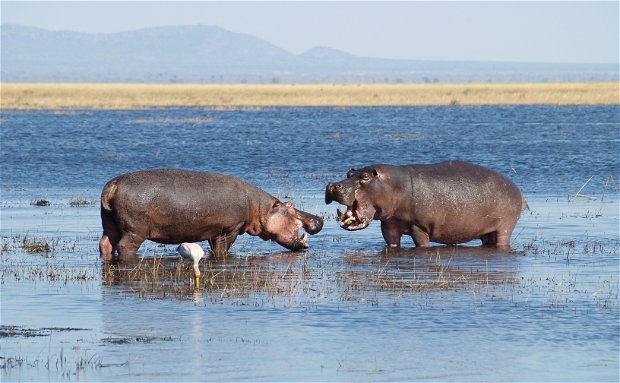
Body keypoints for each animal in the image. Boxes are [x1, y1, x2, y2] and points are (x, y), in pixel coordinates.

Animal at [99, 169, 322, 260]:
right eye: (291, 206)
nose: (319, 218)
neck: (261, 208)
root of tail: (112, 185)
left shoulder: (213, 232)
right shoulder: (229, 231)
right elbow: (222, 250)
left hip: (109, 224)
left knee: (106, 244)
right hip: (134, 231)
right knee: (124, 246)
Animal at [326, 160, 524, 248]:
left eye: (366, 177)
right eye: (349, 173)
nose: (333, 185)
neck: (394, 185)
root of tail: (517, 189)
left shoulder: (419, 227)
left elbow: (421, 244)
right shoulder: (389, 226)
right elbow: (392, 243)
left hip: (505, 227)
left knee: (502, 240)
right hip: (486, 232)